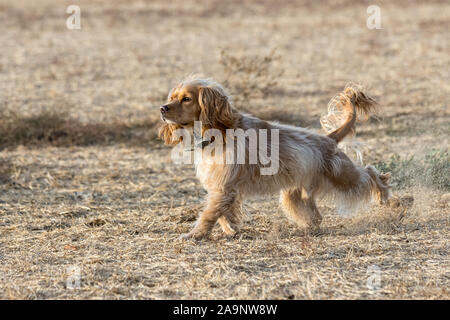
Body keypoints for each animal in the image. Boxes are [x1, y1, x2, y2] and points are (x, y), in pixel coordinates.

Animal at [158, 76, 390, 239]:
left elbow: (209, 214)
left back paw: (386, 197)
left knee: (370, 172)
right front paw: (231, 229)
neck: (218, 131)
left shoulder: (225, 186)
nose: (162, 108)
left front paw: (195, 235)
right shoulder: (222, 187)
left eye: (186, 99)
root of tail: (329, 138)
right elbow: (222, 212)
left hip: (343, 177)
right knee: (316, 217)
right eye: (172, 97)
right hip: (293, 195)